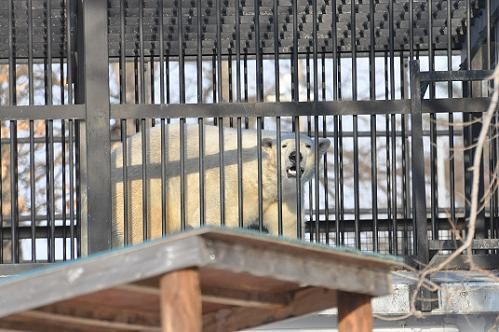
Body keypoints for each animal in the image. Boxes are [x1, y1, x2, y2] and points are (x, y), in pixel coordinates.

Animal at [112, 124, 332, 246]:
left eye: (308, 146)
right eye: (284, 145)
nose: (295, 156)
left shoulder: (284, 195)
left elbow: (287, 225)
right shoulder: (230, 183)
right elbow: (216, 216)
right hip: (145, 186)